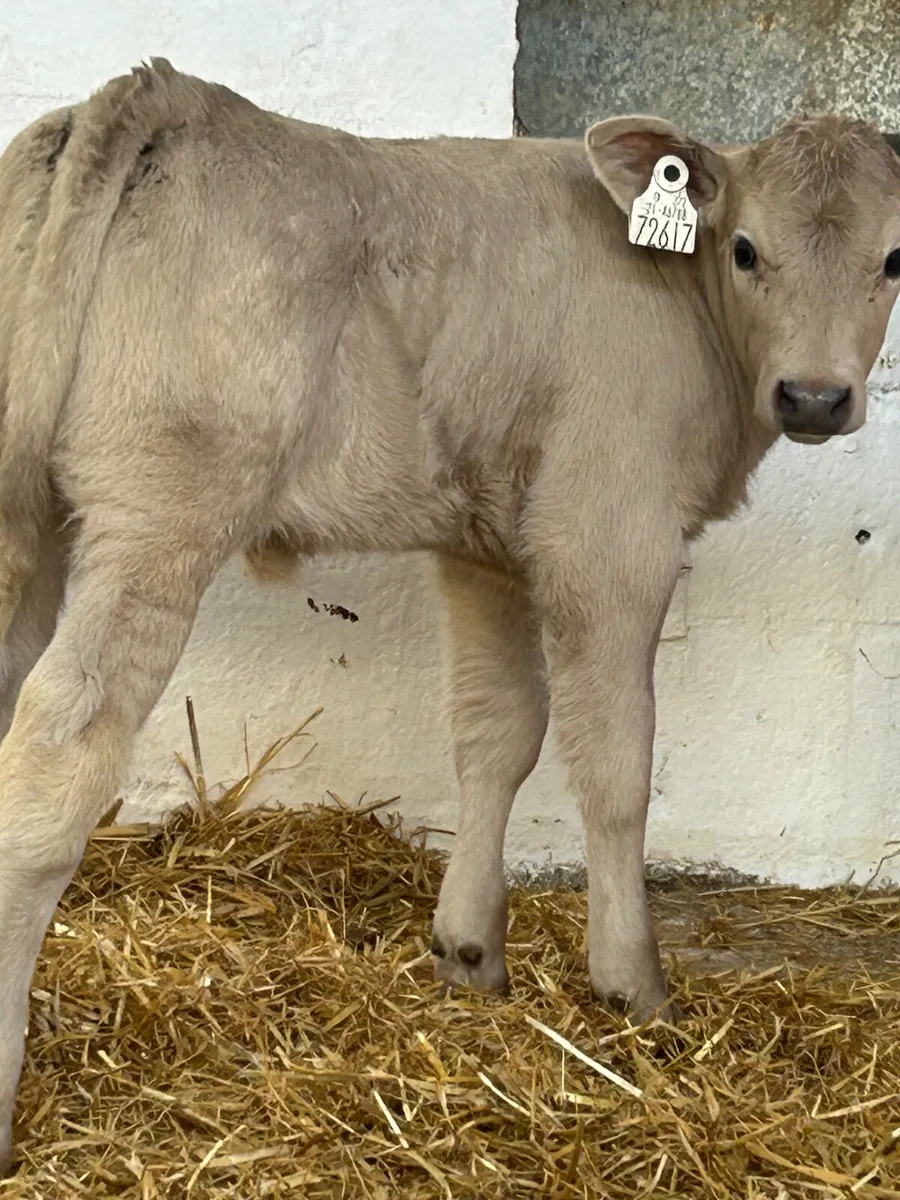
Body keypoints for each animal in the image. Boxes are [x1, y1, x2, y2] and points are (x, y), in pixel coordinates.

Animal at [0, 58, 899, 1171]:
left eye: (896, 257)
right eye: (745, 249)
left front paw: (469, 953)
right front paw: (634, 985)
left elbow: (498, 734)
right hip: (162, 508)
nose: (815, 397)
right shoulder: (609, 534)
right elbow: (618, 765)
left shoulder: (487, 547)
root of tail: (166, 95)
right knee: (56, 750)